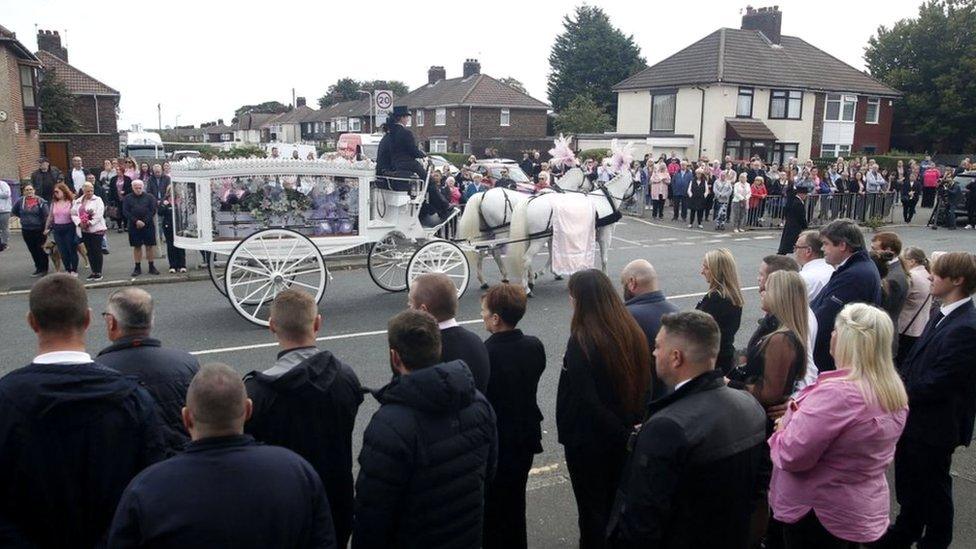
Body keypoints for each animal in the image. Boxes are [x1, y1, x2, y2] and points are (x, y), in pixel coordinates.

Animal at [508, 171, 636, 294]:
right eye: (636, 184)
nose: (634, 201)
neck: (605, 200)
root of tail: (530, 201)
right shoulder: (605, 235)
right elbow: (604, 259)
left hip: (532, 238)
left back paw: (530, 280)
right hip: (539, 239)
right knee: (526, 259)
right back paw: (526, 288)